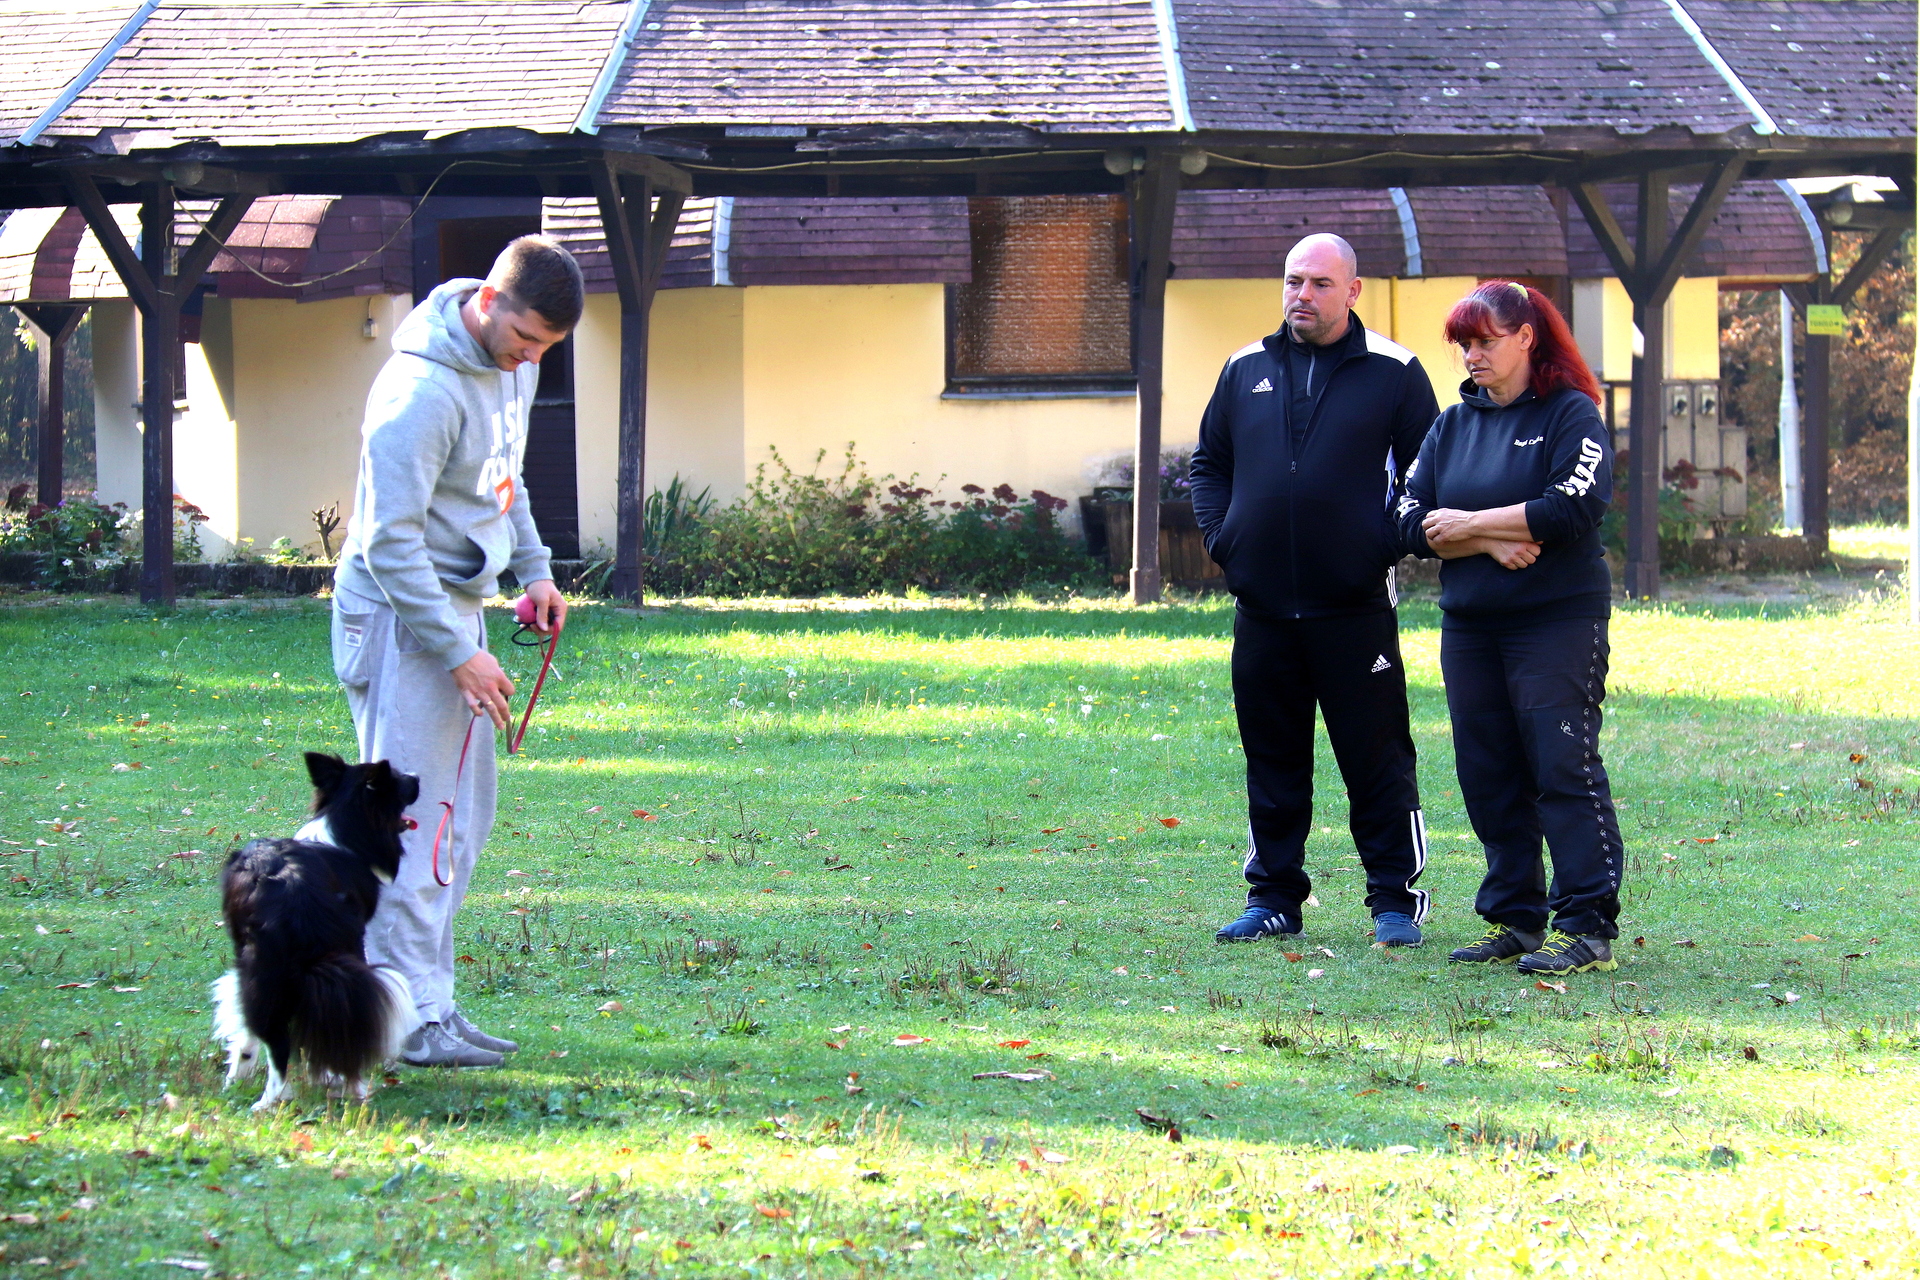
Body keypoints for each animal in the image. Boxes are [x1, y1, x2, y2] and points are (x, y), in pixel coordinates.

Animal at [212, 752, 422, 1109]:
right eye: (397, 779)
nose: (417, 777)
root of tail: (294, 904)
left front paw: (238, 1074)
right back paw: (351, 1088)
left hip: (262, 971)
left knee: (274, 1038)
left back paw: (268, 1098)